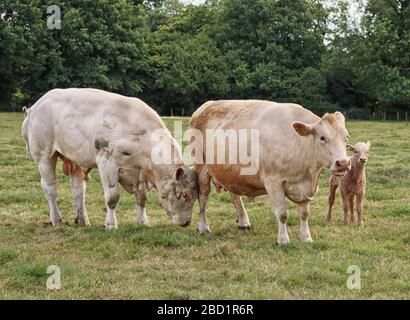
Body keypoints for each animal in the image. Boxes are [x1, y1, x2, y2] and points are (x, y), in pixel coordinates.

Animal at [189, 101, 350, 244]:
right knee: (203, 196)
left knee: (234, 194)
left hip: (230, 171)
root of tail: (206, 106)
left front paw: (306, 238)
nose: (343, 163)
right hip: (201, 166)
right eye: (322, 138)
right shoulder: (274, 182)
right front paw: (283, 240)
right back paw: (203, 227)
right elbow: (283, 214)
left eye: (346, 137)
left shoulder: (305, 187)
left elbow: (304, 214)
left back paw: (243, 221)